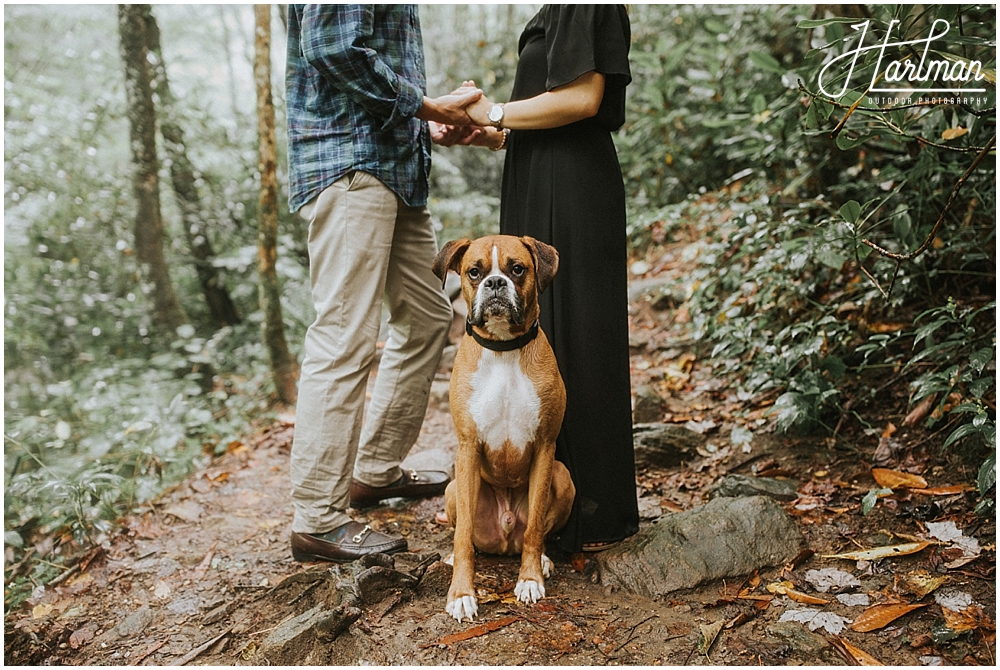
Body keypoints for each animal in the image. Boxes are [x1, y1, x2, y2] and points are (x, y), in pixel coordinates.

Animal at [432, 236, 580, 624]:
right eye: (474, 271)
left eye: (517, 269)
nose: (495, 283)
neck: (502, 351)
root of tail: (504, 533)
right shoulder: (468, 447)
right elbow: (463, 536)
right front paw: (461, 594)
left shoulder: (545, 447)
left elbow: (535, 529)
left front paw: (529, 578)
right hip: (454, 487)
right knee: (466, 534)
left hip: (563, 477)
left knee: (533, 529)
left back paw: (541, 560)